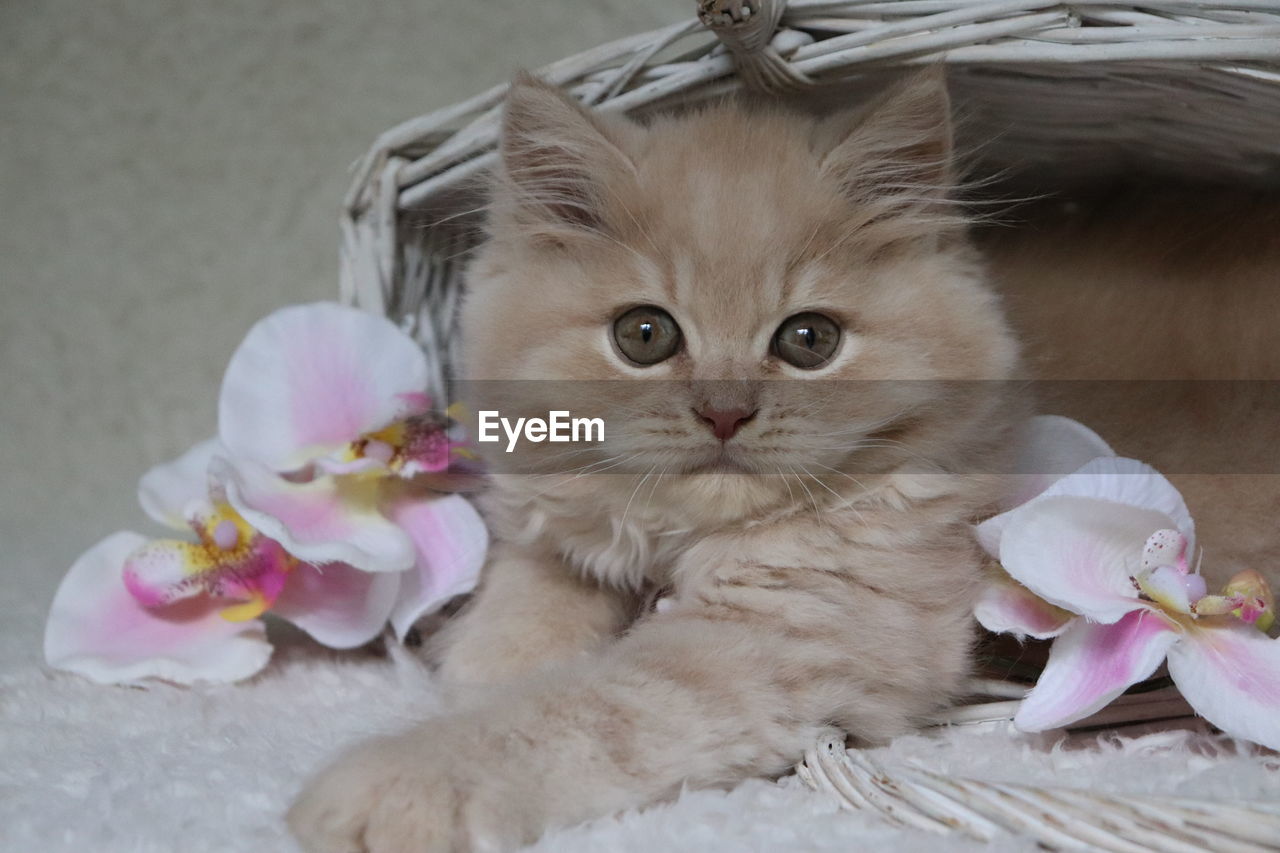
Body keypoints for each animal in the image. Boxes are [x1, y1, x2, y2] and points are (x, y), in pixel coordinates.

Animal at [288, 71, 1018, 850]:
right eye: (644, 335)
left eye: (810, 340)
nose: (724, 412)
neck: (678, 540)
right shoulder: (554, 549)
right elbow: (517, 626)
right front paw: (473, 678)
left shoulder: (785, 631)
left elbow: (580, 710)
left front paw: (403, 778)